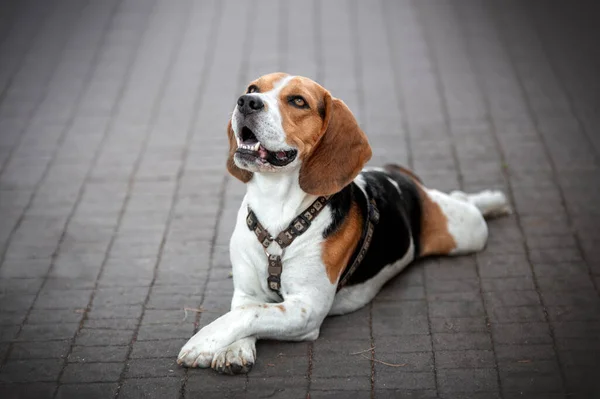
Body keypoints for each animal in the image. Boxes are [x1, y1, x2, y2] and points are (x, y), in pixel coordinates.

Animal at [176, 72, 508, 376]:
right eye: (253, 88)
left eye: (298, 101)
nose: (246, 101)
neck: (277, 212)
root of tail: (399, 178)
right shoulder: (247, 292)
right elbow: (246, 310)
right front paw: (234, 349)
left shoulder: (307, 309)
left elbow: (250, 315)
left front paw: (202, 342)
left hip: (465, 232)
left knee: (467, 204)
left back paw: (493, 200)